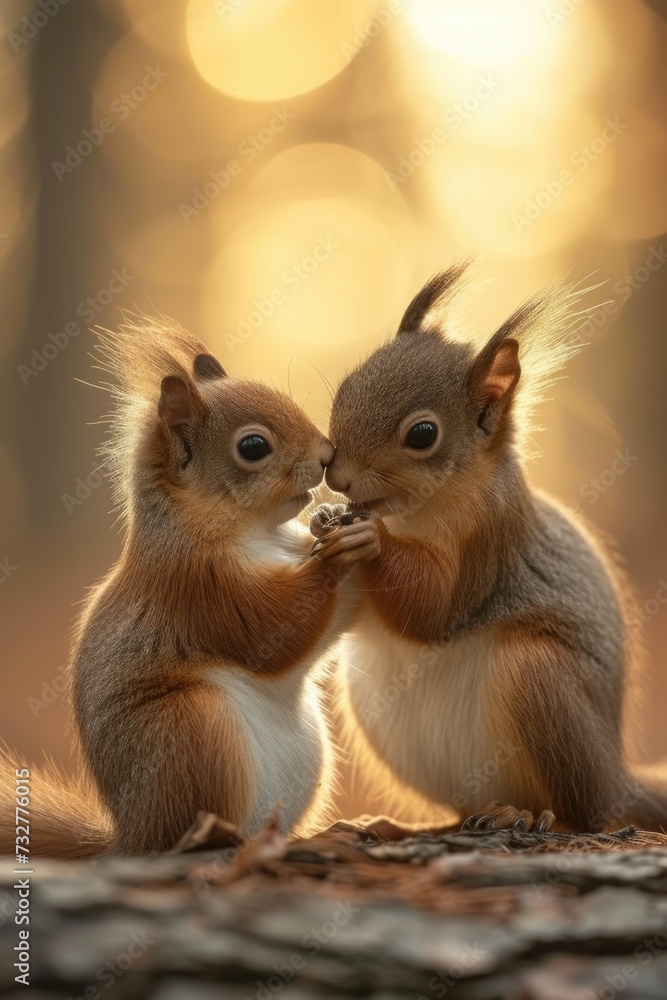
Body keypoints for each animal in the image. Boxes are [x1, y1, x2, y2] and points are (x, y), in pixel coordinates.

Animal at [1, 317, 369, 857]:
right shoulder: (197, 584)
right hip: (191, 728)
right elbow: (272, 633)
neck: (254, 532)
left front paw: (332, 520)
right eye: (253, 446)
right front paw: (340, 554)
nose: (325, 455)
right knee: (183, 833)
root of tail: (130, 836)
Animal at [314, 262, 667, 834]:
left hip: (541, 680)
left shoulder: (489, 539)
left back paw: (527, 815)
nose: (336, 476)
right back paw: (402, 824)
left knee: (585, 814)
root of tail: (618, 780)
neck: (415, 512)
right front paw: (325, 521)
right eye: (347, 385)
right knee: (462, 808)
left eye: (423, 434)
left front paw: (371, 540)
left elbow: (434, 610)